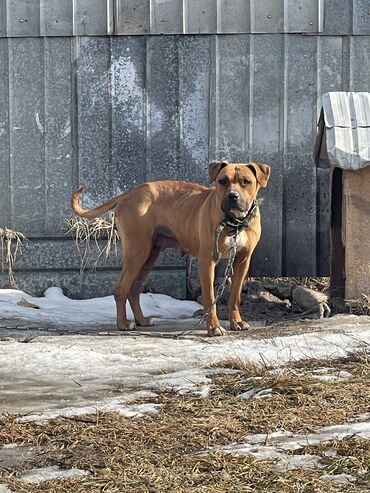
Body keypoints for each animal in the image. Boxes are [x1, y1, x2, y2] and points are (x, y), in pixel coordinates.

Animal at [71, 160, 270, 334]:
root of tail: (128, 193)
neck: (235, 222)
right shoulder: (207, 262)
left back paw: (141, 320)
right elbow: (210, 299)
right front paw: (213, 328)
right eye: (223, 181)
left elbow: (234, 297)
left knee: (134, 289)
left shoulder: (242, 261)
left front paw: (236, 322)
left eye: (246, 182)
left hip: (150, 255)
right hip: (137, 252)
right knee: (121, 289)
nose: (233, 196)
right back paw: (123, 324)